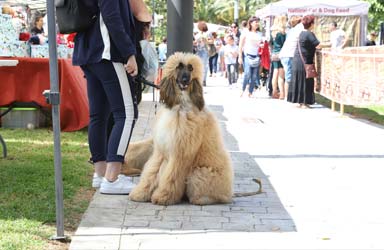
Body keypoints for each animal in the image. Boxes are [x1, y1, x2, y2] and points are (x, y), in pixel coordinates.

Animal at [127, 52, 234, 205]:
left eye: (190, 68)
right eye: (179, 66)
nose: (185, 79)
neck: (180, 105)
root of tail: (228, 192)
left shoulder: (180, 154)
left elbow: (171, 177)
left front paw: (163, 196)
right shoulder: (161, 150)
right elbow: (152, 172)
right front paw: (141, 193)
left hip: (199, 173)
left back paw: (201, 199)